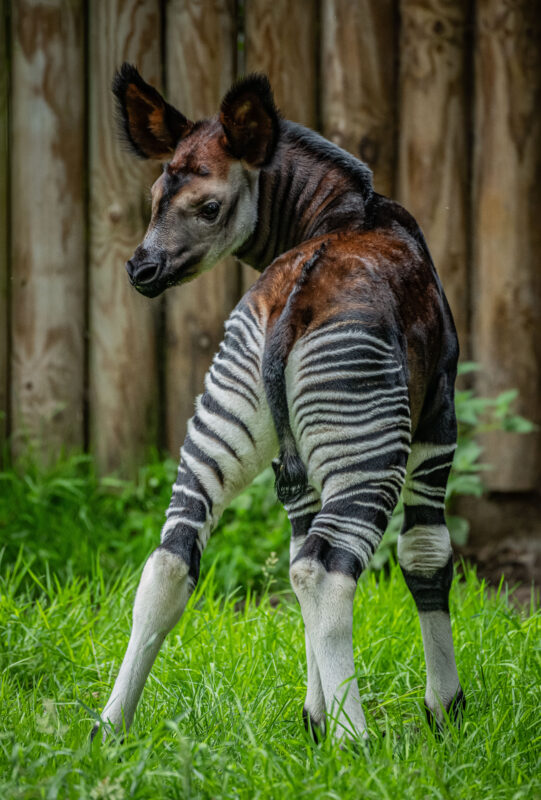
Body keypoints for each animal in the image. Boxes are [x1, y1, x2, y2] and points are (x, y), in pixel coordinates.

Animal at [93, 64, 464, 744]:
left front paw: (312, 719)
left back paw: (111, 728)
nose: (141, 269)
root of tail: (293, 300)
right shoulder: (439, 412)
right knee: (329, 570)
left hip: (226, 409)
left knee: (173, 558)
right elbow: (425, 553)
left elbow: (292, 552)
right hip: (370, 440)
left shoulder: (286, 460)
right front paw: (443, 710)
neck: (341, 213)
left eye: (207, 206)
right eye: (155, 199)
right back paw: (356, 740)